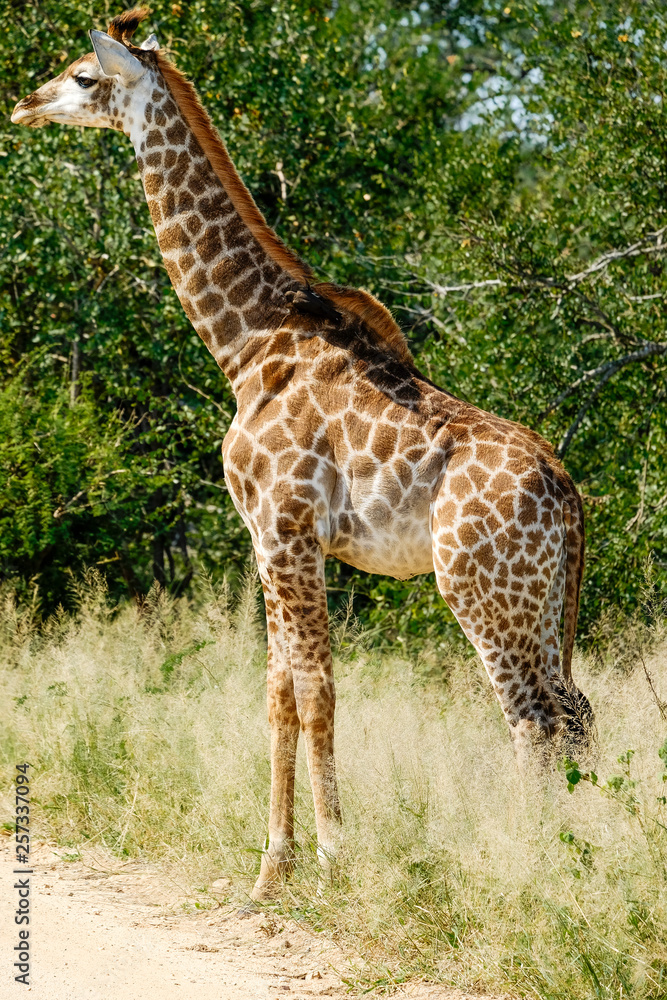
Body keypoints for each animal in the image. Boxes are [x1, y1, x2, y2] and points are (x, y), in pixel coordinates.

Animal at [12, 8, 594, 900]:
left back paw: (531, 874)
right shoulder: (266, 537)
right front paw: (271, 868)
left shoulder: (286, 530)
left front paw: (330, 856)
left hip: (481, 591)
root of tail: (566, 494)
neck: (244, 342)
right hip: (541, 600)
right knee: (576, 712)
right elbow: (277, 693)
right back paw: (586, 854)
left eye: (83, 75)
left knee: (533, 721)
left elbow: (316, 691)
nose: (23, 105)